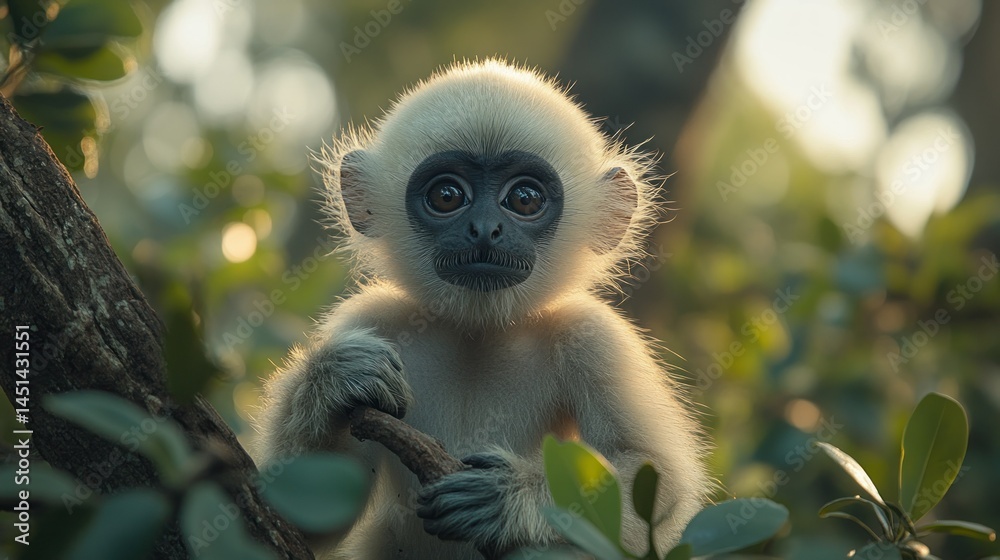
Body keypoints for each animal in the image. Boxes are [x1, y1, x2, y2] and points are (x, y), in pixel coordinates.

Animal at [252, 59, 711, 559]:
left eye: (524, 198)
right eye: (447, 196)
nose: (485, 229)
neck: (478, 331)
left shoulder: (593, 334)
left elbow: (657, 481)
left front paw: (504, 496)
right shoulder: (369, 318)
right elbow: (307, 516)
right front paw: (336, 377)